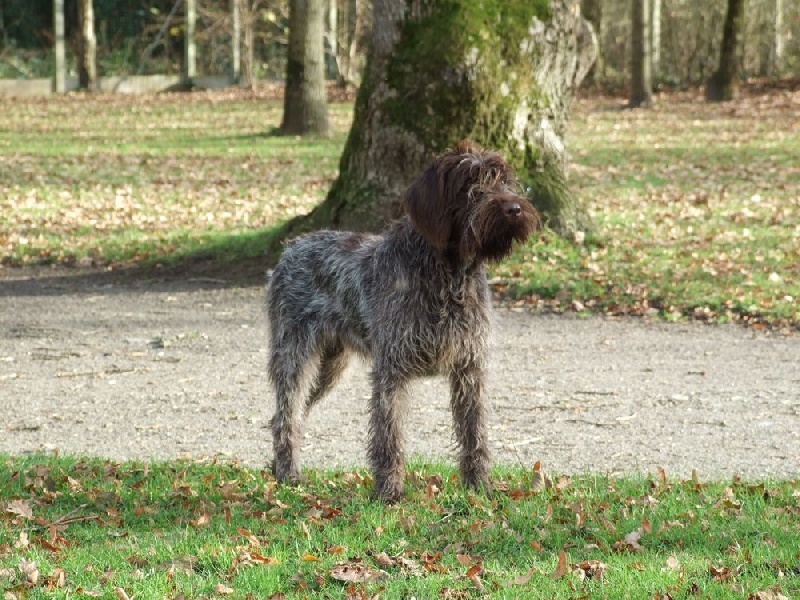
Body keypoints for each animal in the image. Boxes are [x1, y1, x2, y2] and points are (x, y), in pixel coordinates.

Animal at [268, 141, 536, 502]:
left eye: (504, 179)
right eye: (470, 182)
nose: (514, 208)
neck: (450, 276)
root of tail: (290, 249)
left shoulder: (469, 368)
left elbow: (474, 433)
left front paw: (478, 487)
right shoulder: (391, 371)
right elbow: (389, 436)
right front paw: (389, 493)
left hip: (329, 368)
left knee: (291, 415)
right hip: (295, 358)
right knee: (286, 415)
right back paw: (287, 475)